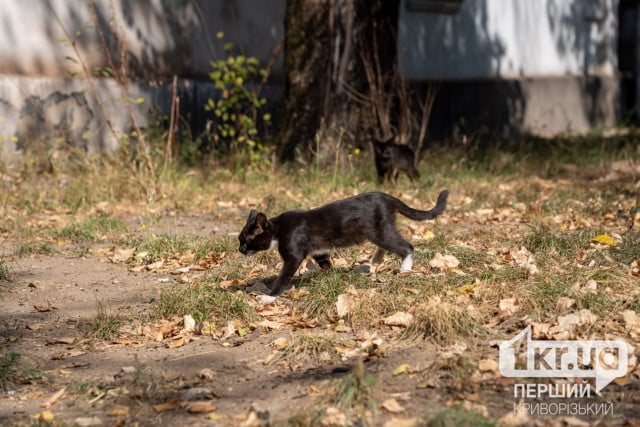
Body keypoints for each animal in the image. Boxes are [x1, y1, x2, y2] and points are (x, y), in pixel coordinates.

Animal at [238, 189, 448, 296]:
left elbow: (283, 276)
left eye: (246, 242)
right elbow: (325, 262)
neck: (279, 229)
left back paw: (405, 269)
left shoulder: (294, 254)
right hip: (379, 231)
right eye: (240, 240)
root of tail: (387, 196)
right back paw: (375, 261)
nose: (240, 249)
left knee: (406, 246)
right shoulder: (318, 251)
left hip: (378, 231)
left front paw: (269, 297)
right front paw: (327, 275)